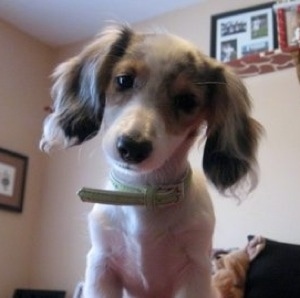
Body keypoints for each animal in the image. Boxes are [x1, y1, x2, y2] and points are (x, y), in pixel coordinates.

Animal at [40, 25, 262, 298]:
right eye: (123, 80)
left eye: (187, 101)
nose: (132, 148)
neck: (144, 194)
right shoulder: (101, 265)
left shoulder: (195, 270)